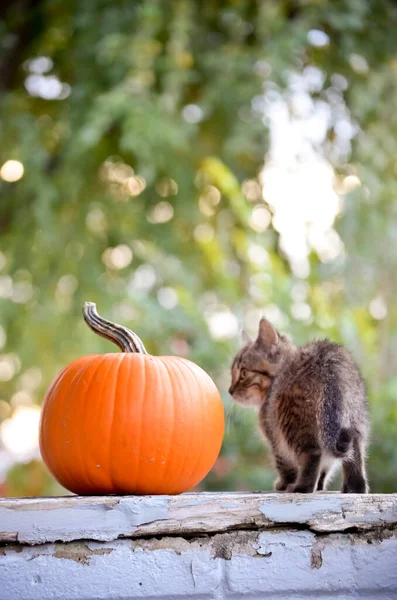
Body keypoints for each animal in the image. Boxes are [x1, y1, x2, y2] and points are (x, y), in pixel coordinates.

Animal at [227, 318, 370, 492]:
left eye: (243, 373)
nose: (230, 390)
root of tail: (327, 362)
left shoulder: (275, 437)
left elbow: (285, 464)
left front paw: (285, 483)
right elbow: (325, 469)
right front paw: (320, 486)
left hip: (293, 421)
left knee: (312, 453)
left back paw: (302, 486)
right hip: (354, 419)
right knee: (354, 451)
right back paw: (355, 487)